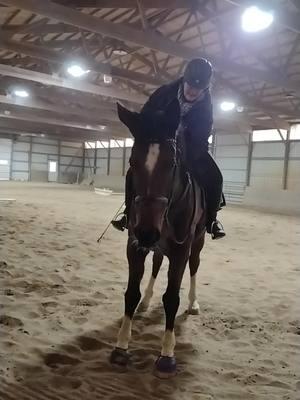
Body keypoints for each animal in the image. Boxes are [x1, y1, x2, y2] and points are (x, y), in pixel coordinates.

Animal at [110, 99, 206, 378]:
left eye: (172, 163)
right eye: (132, 161)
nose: (147, 232)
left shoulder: (181, 249)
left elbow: (171, 299)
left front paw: (167, 354)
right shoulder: (134, 246)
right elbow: (131, 293)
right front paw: (121, 347)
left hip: (197, 242)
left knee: (194, 266)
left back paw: (193, 303)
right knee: (155, 266)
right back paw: (147, 300)